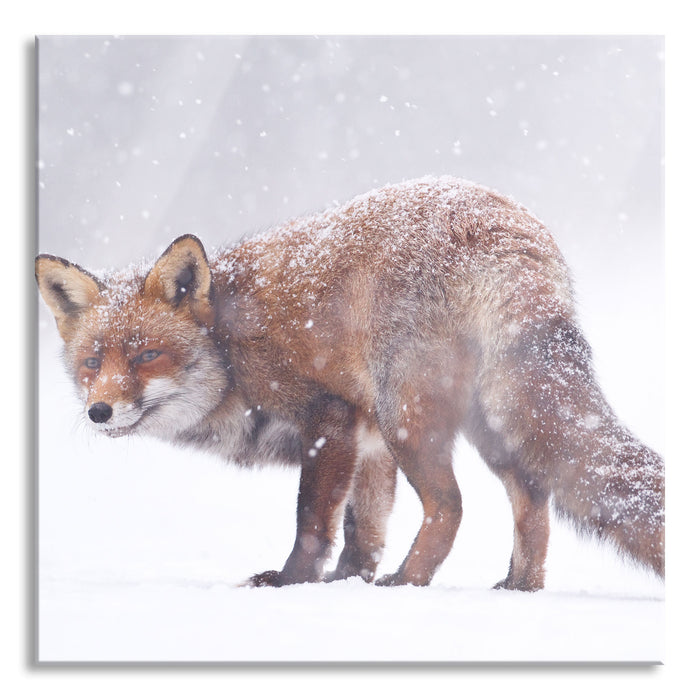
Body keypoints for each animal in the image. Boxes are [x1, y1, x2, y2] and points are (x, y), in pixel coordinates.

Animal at [35, 176, 664, 591]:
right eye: (92, 362)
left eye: (147, 355)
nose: (99, 411)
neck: (231, 346)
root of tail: (502, 225)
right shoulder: (369, 443)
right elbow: (365, 528)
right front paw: (347, 582)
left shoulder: (329, 418)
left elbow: (313, 520)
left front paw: (292, 583)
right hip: (488, 424)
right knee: (533, 499)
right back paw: (518, 587)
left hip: (409, 416)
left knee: (451, 506)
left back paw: (410, 582)